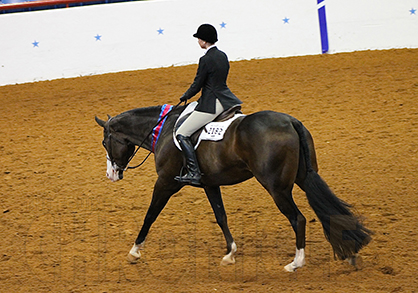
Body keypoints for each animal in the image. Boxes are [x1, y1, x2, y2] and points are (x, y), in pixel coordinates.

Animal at [95, 103, 372, 272]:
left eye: (105, 142)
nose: (111, 175)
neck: (163, 130)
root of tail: (291, 121)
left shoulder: (165, 182)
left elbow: (150, 215)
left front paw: (134, 251)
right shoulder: (209, 183)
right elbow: (221, 216)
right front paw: (230, 253)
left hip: (277, 188)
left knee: (299, 219)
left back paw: (296, 263)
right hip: (304, 177)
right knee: (327, 209)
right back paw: (350, 252)